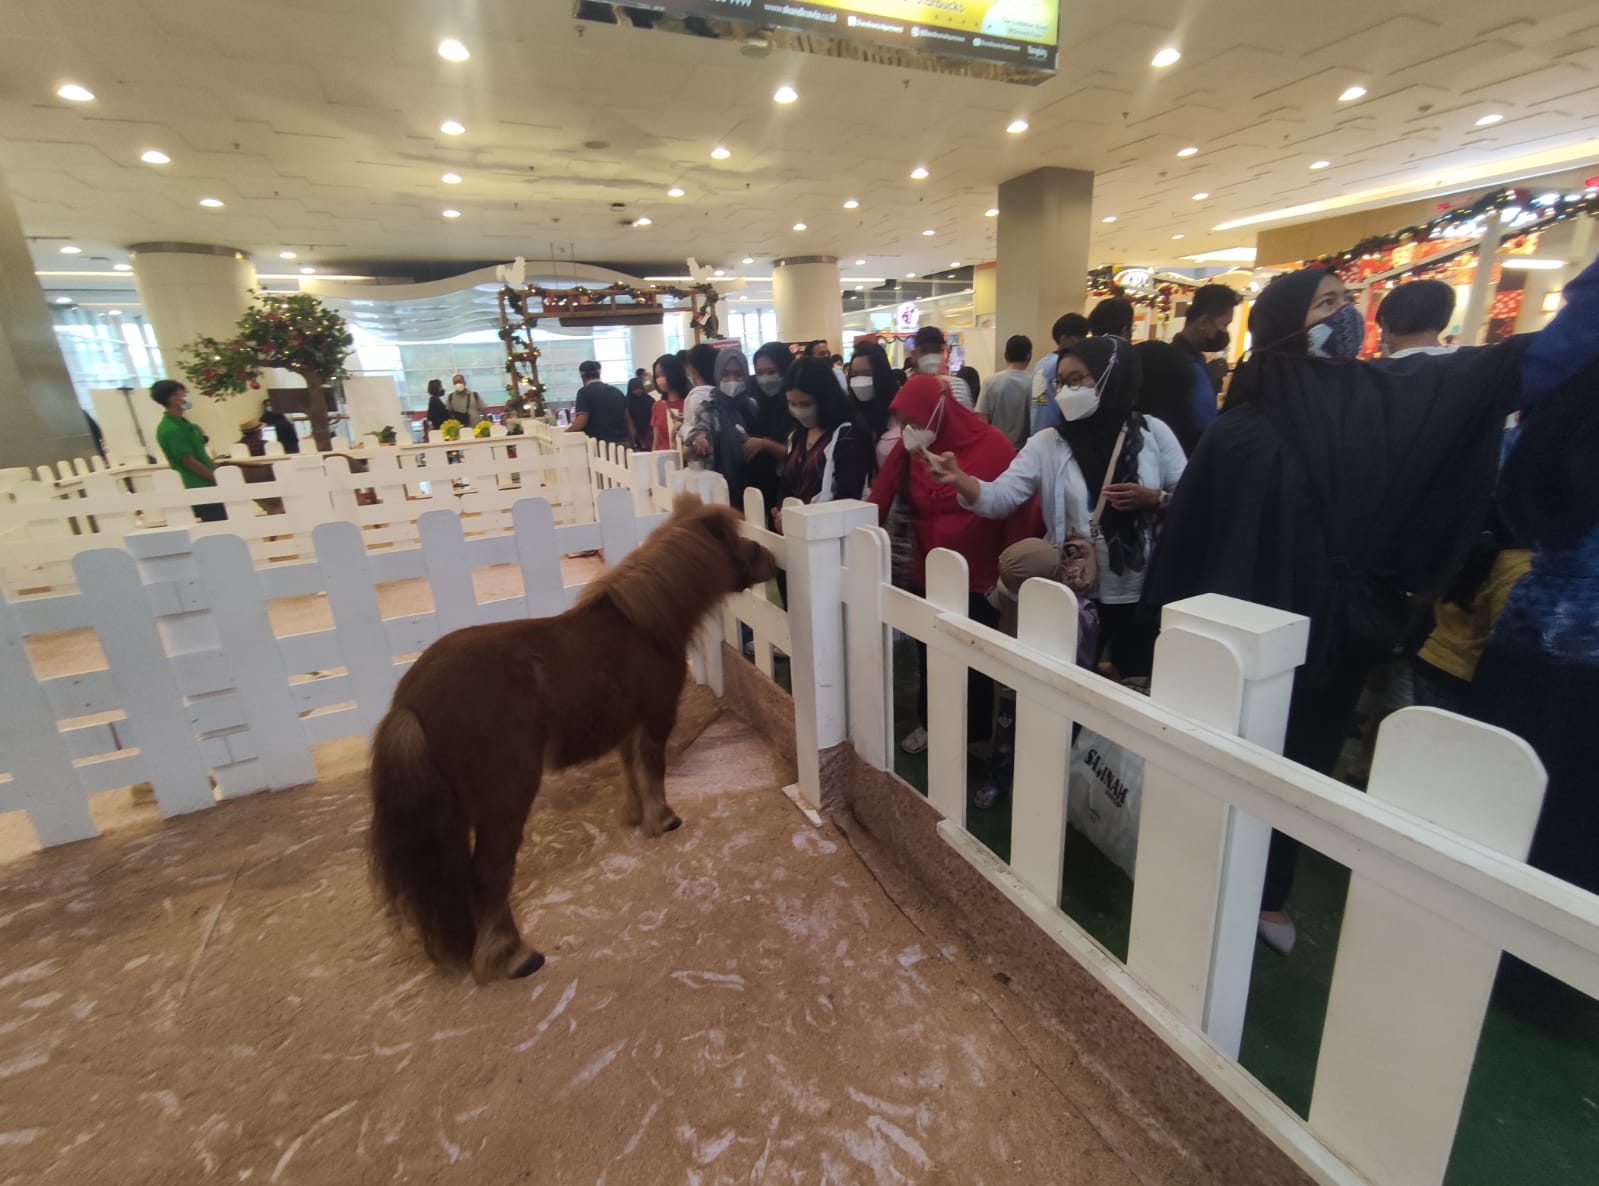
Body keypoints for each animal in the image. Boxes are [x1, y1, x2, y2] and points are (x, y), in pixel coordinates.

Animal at [369, 492, 780, 984]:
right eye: (738, 538)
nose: (774, 561)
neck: (643, 627)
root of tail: (408, 704)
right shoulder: (656, 719)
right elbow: (654, 770)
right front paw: (664, 820)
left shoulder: (627, 726)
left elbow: (632, 772)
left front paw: (636, 817)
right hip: (504, 803)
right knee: (488, 875)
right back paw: (516, 957)